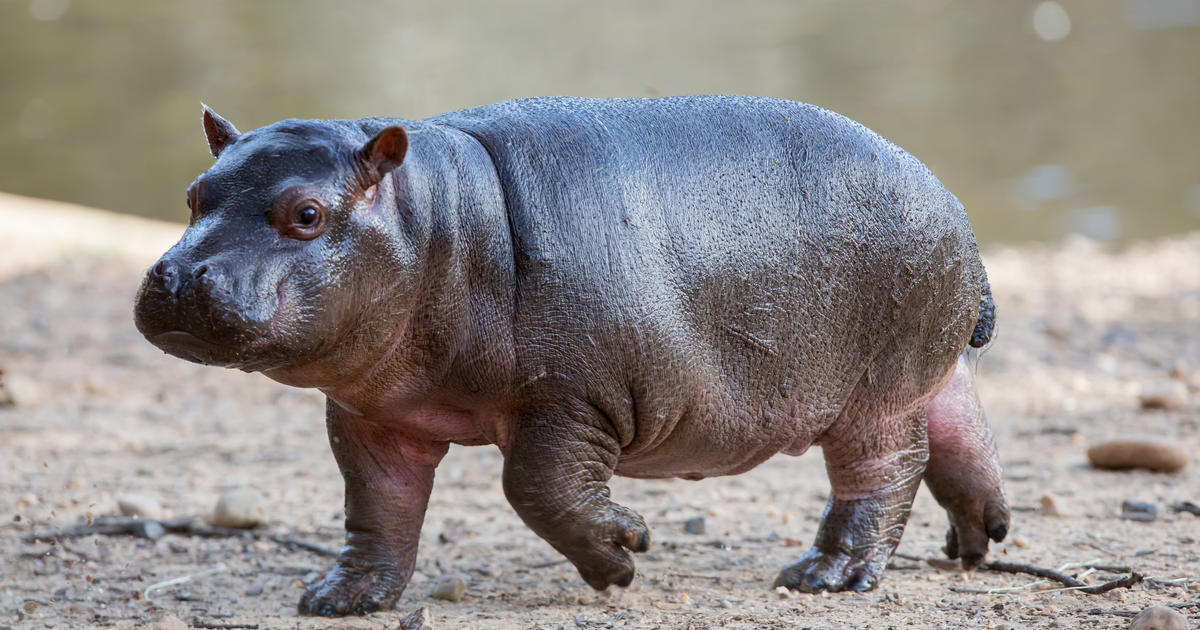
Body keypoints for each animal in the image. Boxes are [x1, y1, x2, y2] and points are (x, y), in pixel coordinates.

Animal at [133, 97, 1012, 614]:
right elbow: (377, 504)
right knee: (960, 426)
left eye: (308, 214)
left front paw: (623, 554)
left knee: (884, 470)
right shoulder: (373, 415)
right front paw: (338, 597)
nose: (175, 277)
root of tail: (951, 200)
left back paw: (824, 576)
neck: (441, 222)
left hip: (876, 390)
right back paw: (976, 540)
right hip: (924, 369)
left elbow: (535, 487)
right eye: (194, 195)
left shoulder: (572, 398)